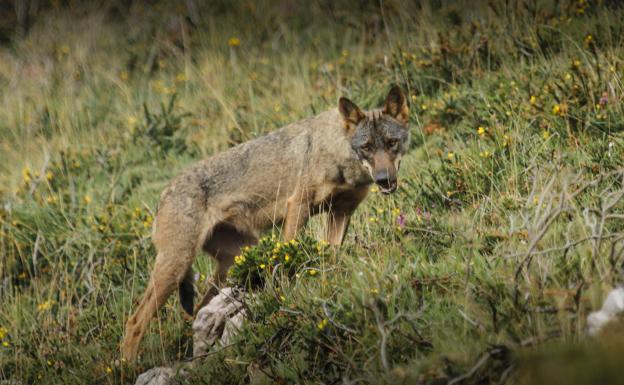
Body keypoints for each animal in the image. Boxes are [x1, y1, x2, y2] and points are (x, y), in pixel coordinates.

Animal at [122, 84, 412, 360]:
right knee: (134, 322)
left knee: (197, 313)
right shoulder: (298, 207)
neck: (337, 151)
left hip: (231, 260)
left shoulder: (340, 214)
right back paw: (127, 366)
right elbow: (286, 261)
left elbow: (330, 257)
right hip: (176, 268)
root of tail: (162, 196)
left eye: (392, 142)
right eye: (367, 147)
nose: (384, 179)